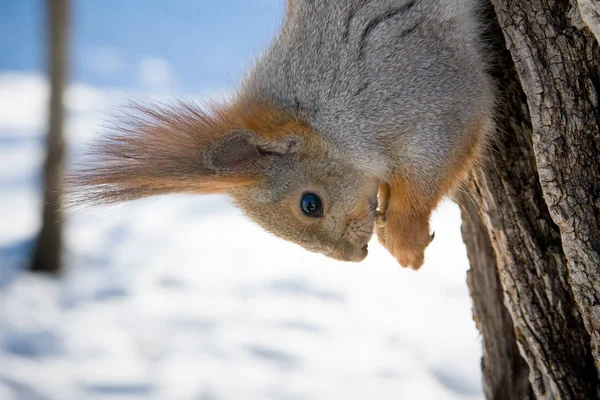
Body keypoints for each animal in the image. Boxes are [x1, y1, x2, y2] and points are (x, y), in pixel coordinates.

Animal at [70, 0, 494, 270]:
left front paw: (405, 241)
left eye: (310, 204)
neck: (324, 118)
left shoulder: (422, 93)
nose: (353, 257)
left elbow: (434, 165)